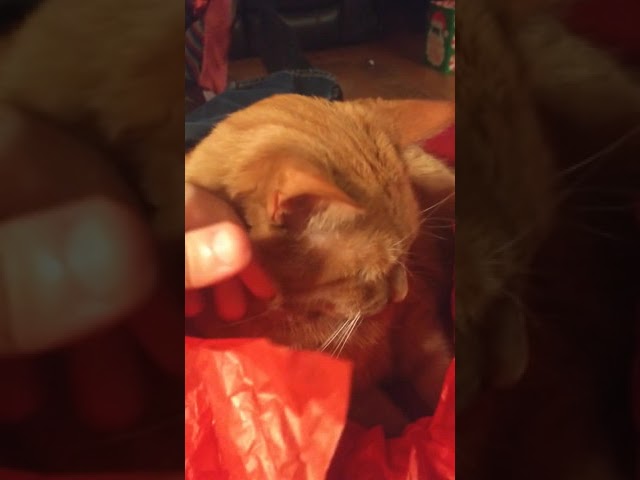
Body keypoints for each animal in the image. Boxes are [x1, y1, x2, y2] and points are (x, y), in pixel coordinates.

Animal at [185, 94, 456, 434]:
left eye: (409, 249)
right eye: (367, 276)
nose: (401, 294)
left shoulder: (420, 321)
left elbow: (437, 372)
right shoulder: (353, 396)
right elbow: (388, 421)